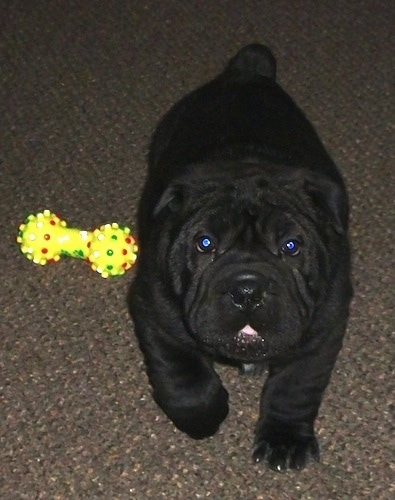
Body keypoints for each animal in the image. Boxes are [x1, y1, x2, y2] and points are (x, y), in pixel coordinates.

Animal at [129, 44, 352, 472]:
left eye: (291, 247)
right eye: (204, 243)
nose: (247, 291)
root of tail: (245, 73)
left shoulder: (323, 328)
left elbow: (294, 386)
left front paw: (284, 440)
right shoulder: (156, 313)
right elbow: (182, 376)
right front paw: (204, 414)